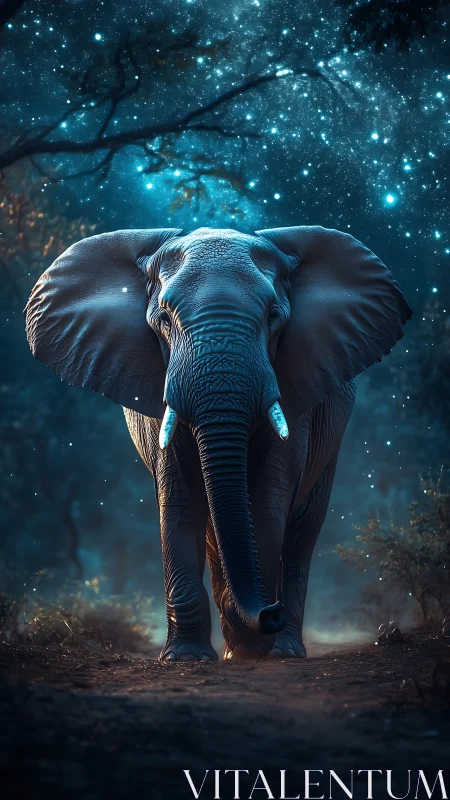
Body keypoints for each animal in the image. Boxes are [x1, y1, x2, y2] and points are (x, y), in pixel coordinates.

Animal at [26, 225, 412, 662]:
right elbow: (179, 497)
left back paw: (281, 649)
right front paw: (188, 657)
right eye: (163, 319)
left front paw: (250, 646)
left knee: (301, 531)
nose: (269, 611)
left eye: (273, 317)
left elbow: (268, 497)